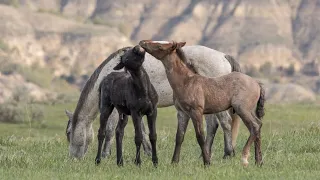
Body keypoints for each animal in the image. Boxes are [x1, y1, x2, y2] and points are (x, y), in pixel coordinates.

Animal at [64, 43, 240, 159]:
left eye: (69, 133)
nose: (73, 158)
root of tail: (223, 56)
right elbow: (142, 130)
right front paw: (148, 152)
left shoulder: (115, 109)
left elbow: (109, 130)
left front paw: (105, 155)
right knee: (213, 125)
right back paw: (205, 154)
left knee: (225, 122)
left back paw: (228, 153)